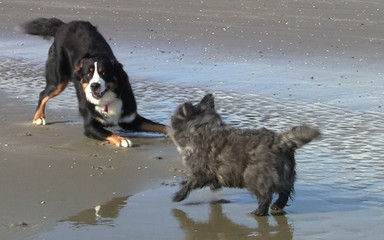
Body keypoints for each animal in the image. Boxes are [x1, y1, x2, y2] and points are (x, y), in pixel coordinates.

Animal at [22, 17, 166, 147]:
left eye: (104, 73)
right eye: (88, 74)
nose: (94, 85)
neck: (107, 101)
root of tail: (65, 25)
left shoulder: (130, 118)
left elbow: (160, 126)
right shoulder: (91, 125)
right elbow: (108, 133)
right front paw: (122, 139)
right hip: (59, 81)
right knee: (43, 94)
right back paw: (39, 117)